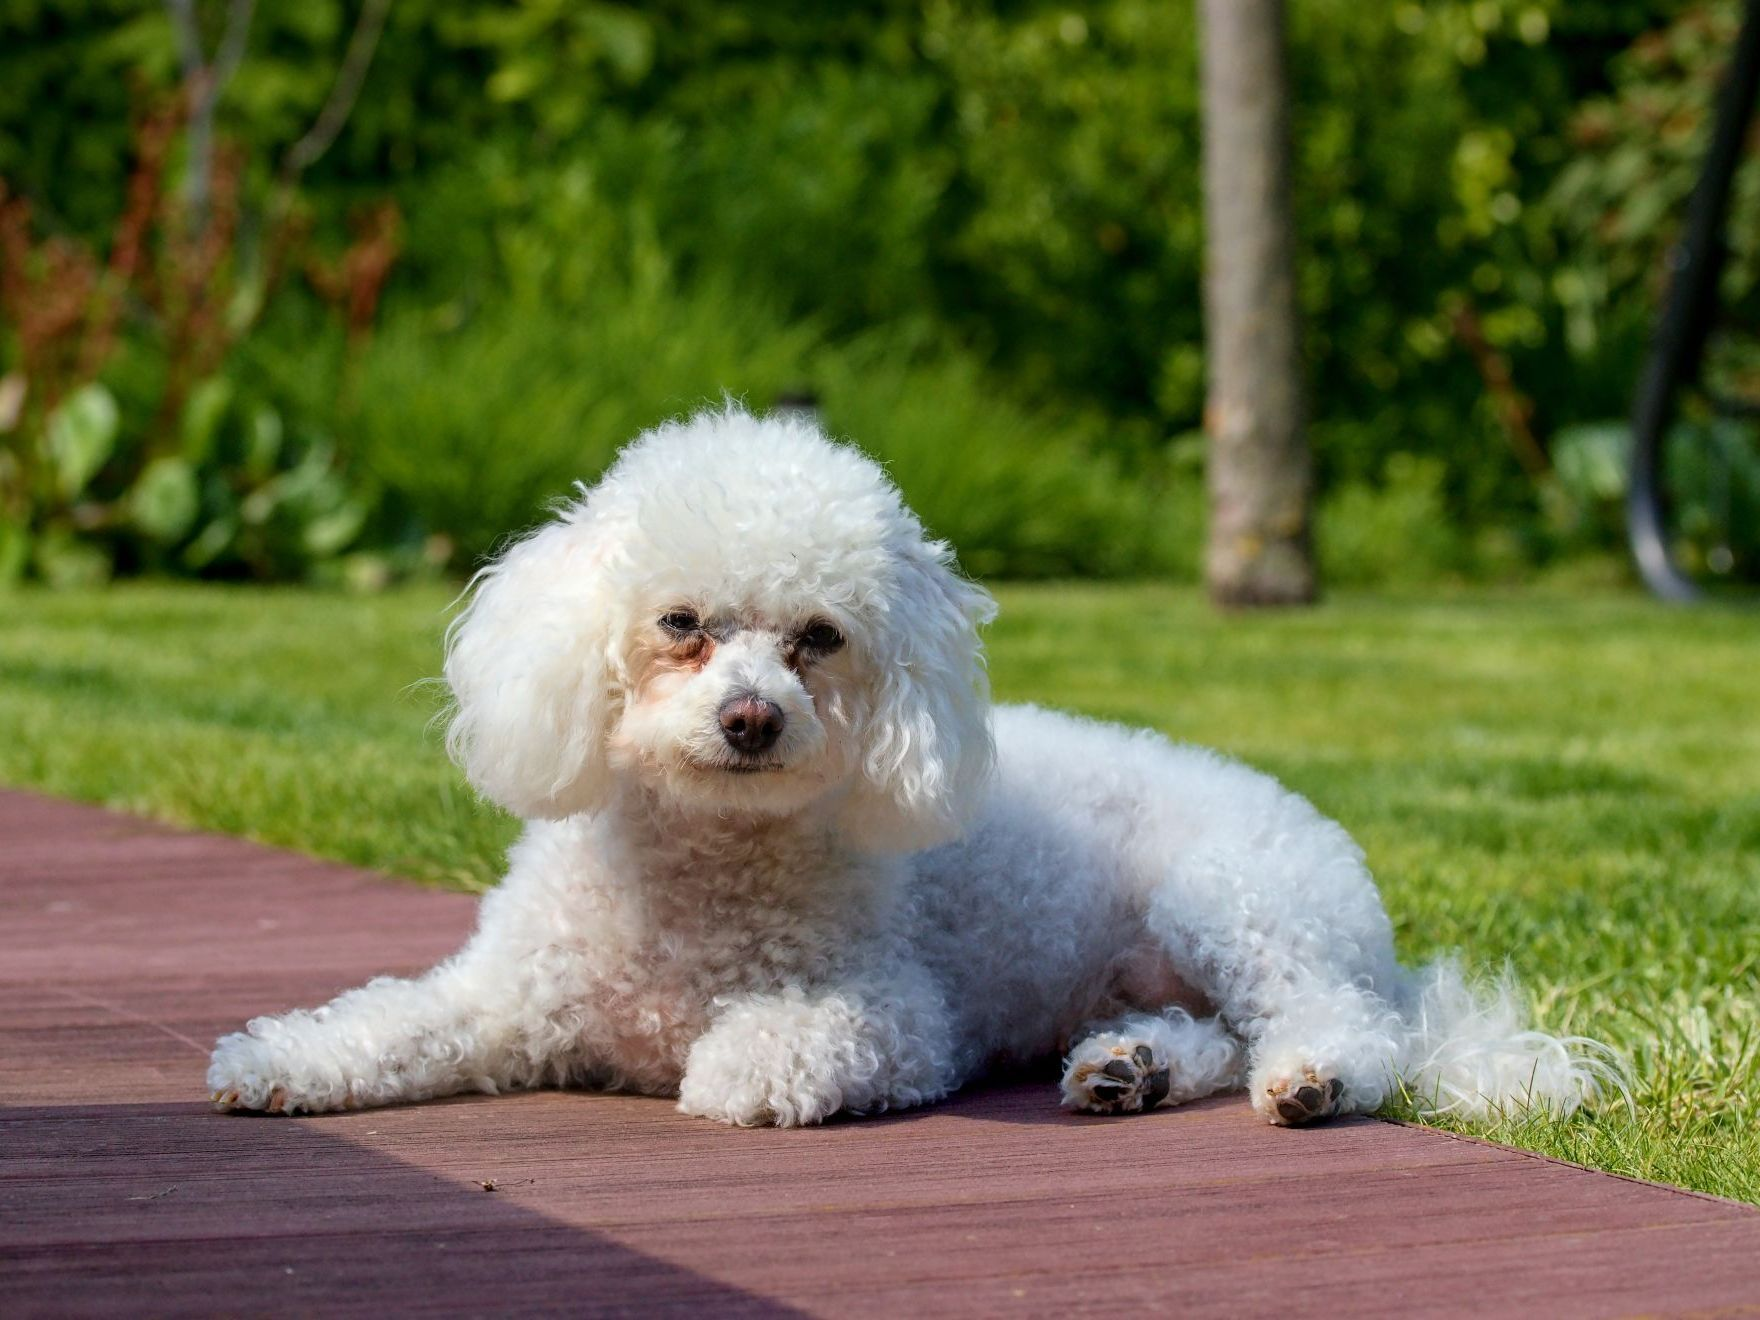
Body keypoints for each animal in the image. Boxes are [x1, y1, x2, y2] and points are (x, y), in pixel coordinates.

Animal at [205, 408, 1612, 1133]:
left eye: (818, 639)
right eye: (680, 624)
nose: (751, 720)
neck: (697, 873)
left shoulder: (896, 1017)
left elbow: (792, 1042)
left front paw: (730, 1071)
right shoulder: (505, 997)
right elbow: (390, 1023)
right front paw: (277, 1064)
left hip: (1236, 896)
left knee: (1341, 1030)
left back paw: (1305, 1080)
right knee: (1207, 1035)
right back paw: (1130, 1068)